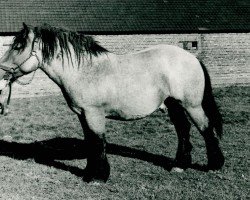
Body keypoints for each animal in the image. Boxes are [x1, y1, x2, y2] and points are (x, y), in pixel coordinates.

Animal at [0, 23, 225, 183]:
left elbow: (99, 142)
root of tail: (192, 58)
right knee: (183, 129)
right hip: (174, 104)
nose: (1, 73)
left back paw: (215, 164)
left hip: (191, 105)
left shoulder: (94, 114)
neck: (85, 70)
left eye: (18, 46)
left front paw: (99, 177)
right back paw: (179, 165)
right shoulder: (83, 115)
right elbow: (91, 142)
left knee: (206, 129)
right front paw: (90, 173)